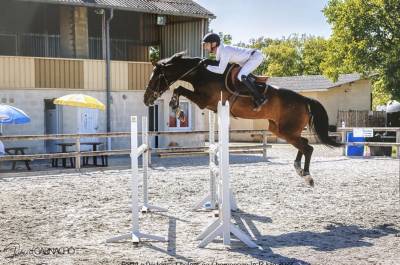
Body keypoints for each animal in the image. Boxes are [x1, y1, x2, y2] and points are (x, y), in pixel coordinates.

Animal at [144, 50, 340, 185]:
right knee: (304, 145)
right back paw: (299, 170)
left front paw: (177, 110)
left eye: (155, 78)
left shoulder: (203, 100)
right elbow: (179, 90)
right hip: (279, 130)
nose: (146, 99)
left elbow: (179, 89)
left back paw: (307, 176)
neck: (203, 73)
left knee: (308, 148)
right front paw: (177, 109)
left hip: (287, 131)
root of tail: (304, 99)